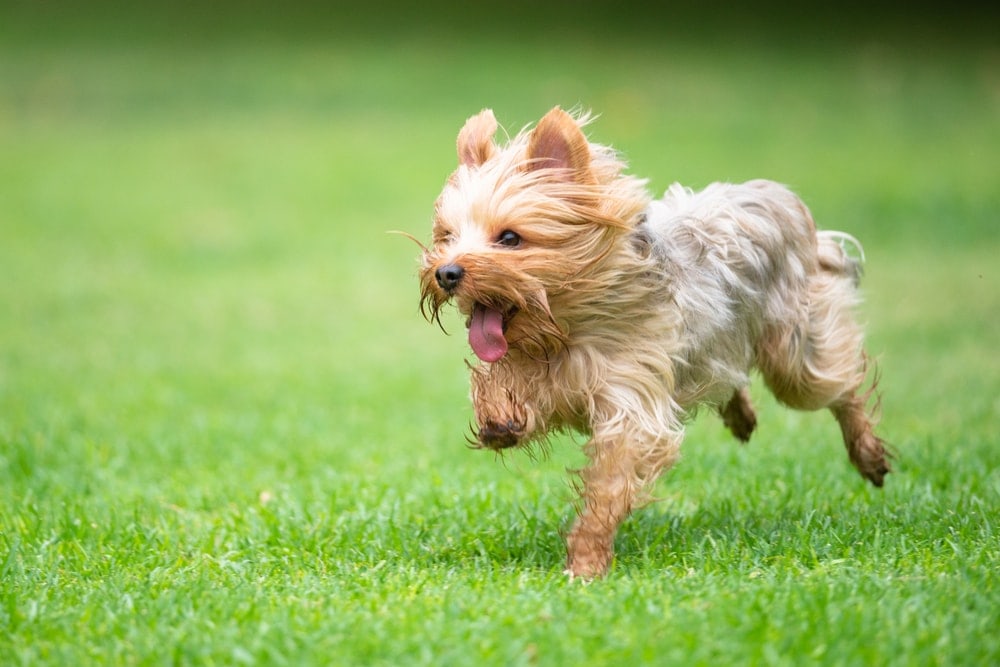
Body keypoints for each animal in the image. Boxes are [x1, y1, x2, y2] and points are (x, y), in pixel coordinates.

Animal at [418, 107, 888, 576]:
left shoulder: (632, 399)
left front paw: (586, 560)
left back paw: (868, 453)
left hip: (794, 350)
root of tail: (776, 196)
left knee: (838, 387)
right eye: (448, 236)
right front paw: (500, 419)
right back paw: (740, 414)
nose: (446, 272)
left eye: (510, 238)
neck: (567, 327)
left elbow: (611, 481)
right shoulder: (541, 362)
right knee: (727, 372)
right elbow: (502, 380)